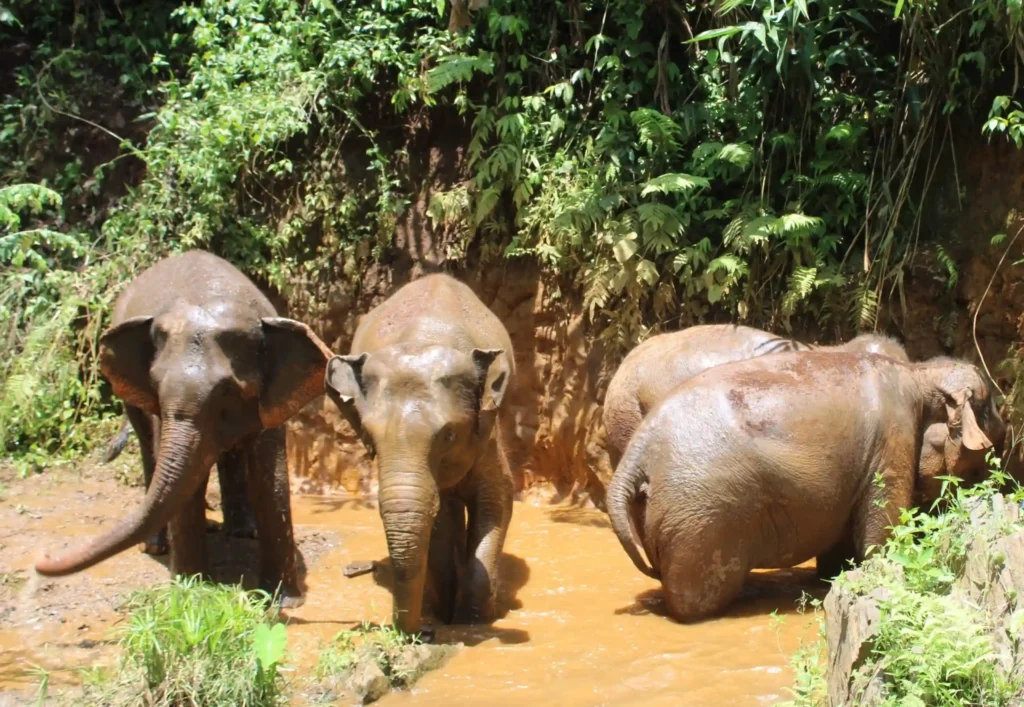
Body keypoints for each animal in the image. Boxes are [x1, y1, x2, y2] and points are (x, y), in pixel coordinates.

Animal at [34, 250, 332, 606]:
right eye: (156, 384)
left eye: (229, 392)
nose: (42, 558)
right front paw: (194, 592)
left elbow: (269, 475)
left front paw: (282, 600)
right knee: (149, 447)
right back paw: (157, 546)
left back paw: (242, 532)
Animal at [325, 273, 514, 634]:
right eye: (368, 435)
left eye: (449, 434)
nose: (421, 631)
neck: (422, 341)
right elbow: (438, 519)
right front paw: (445, 614)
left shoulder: (486, 432)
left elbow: (495, 504)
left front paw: (473, 621)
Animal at [607, 351, 1004, 622]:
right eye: (990, 412)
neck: (919, 375)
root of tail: (635, 454)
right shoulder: (893, 440)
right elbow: (882, 522)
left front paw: (834, 576)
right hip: (700, 514)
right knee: (697, 599)